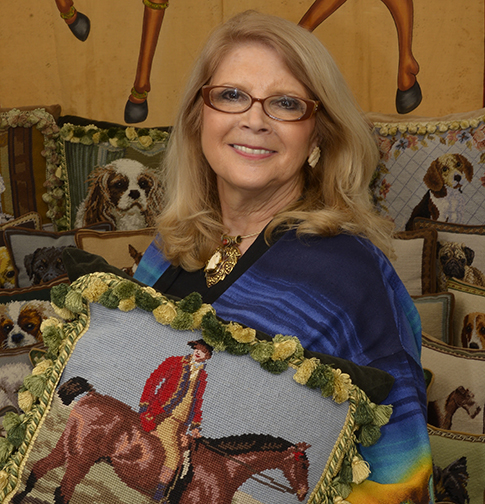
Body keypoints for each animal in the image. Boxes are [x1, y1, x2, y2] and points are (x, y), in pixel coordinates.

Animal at [15, 378, 312, 504]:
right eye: (303, 464)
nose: (303, 492)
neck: (224, 469)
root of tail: (93, 393)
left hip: (68, 447)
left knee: (38, 469)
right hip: (82, 458)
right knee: (62, 492)